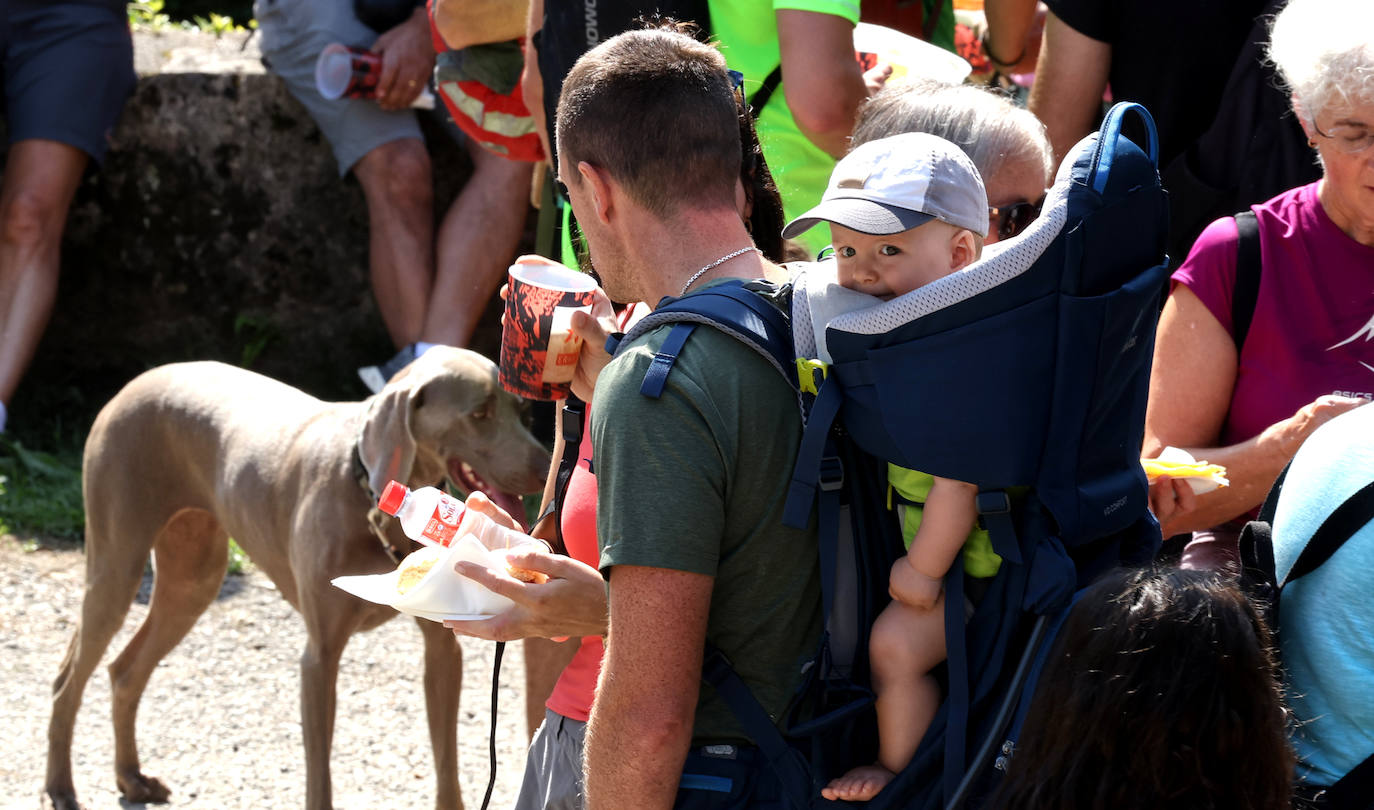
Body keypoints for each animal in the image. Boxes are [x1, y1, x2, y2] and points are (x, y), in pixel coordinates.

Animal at [42, 351, 549, 810]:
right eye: (479, 414)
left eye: (524, 412)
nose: (547, 467)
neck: (366, 492)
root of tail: (135, 383)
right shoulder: (319, 656)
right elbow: (319, 774)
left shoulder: (443, 649)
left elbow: (447, 761)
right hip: (117, 565)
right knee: (68, 678)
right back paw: (61, 788)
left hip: (193, 579)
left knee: (125, 670)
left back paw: (131, 778)